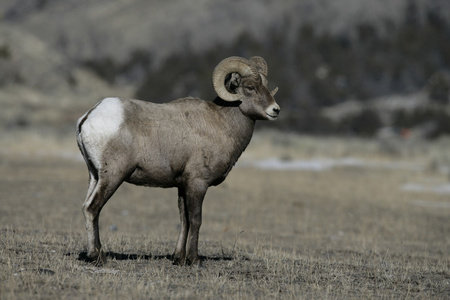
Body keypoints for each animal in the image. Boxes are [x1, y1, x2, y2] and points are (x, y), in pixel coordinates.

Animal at [77, 56, 280, 264]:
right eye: (250, 87)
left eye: (266, 86)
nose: (275, 110)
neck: (221, 124)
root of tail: (88, 117)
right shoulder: (198, 183)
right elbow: (196, 219)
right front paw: (194, 259)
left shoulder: (183, 186)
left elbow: (185, 220)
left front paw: (179, 258)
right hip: (113, 176)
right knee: (93, 208)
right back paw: (97, 256)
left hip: (95, 176)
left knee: (86, 207)